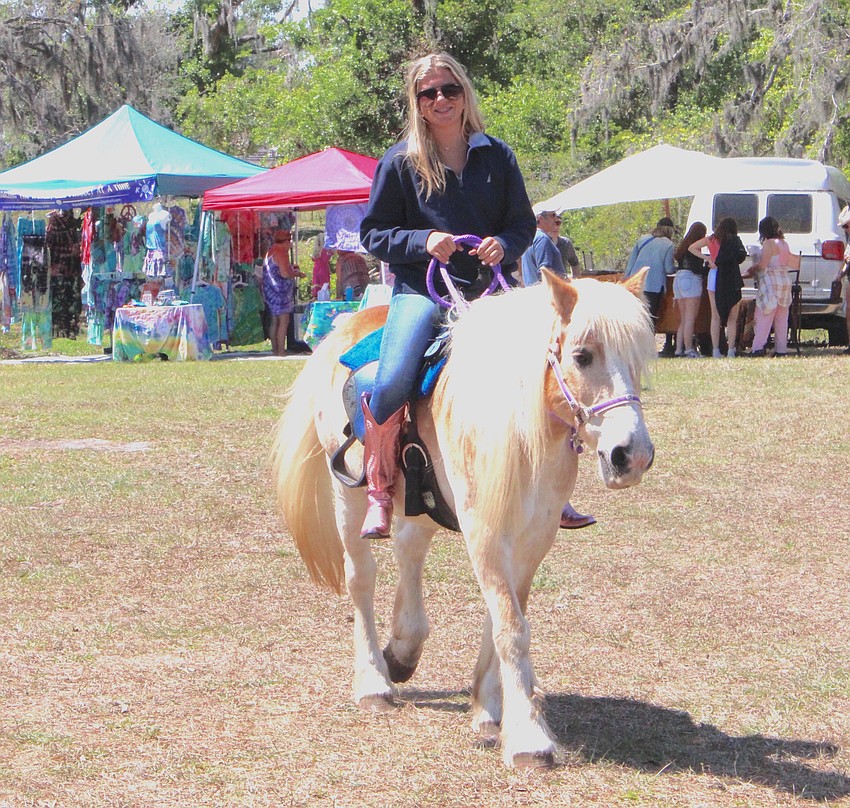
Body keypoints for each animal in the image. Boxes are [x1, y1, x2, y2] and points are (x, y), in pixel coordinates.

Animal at [271, 268, 656, 768]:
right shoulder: (485, 532)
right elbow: (512, 627)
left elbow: (504, 617)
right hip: (348, 495)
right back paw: (374, 681)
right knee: (361, 577)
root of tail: (343, 330)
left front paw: (491, 712)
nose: (632, 456)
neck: (520, 429)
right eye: (582, 355)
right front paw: (528, 738)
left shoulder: (533, 539)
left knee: (409, 549)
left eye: (638, 359)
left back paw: (404, 648)